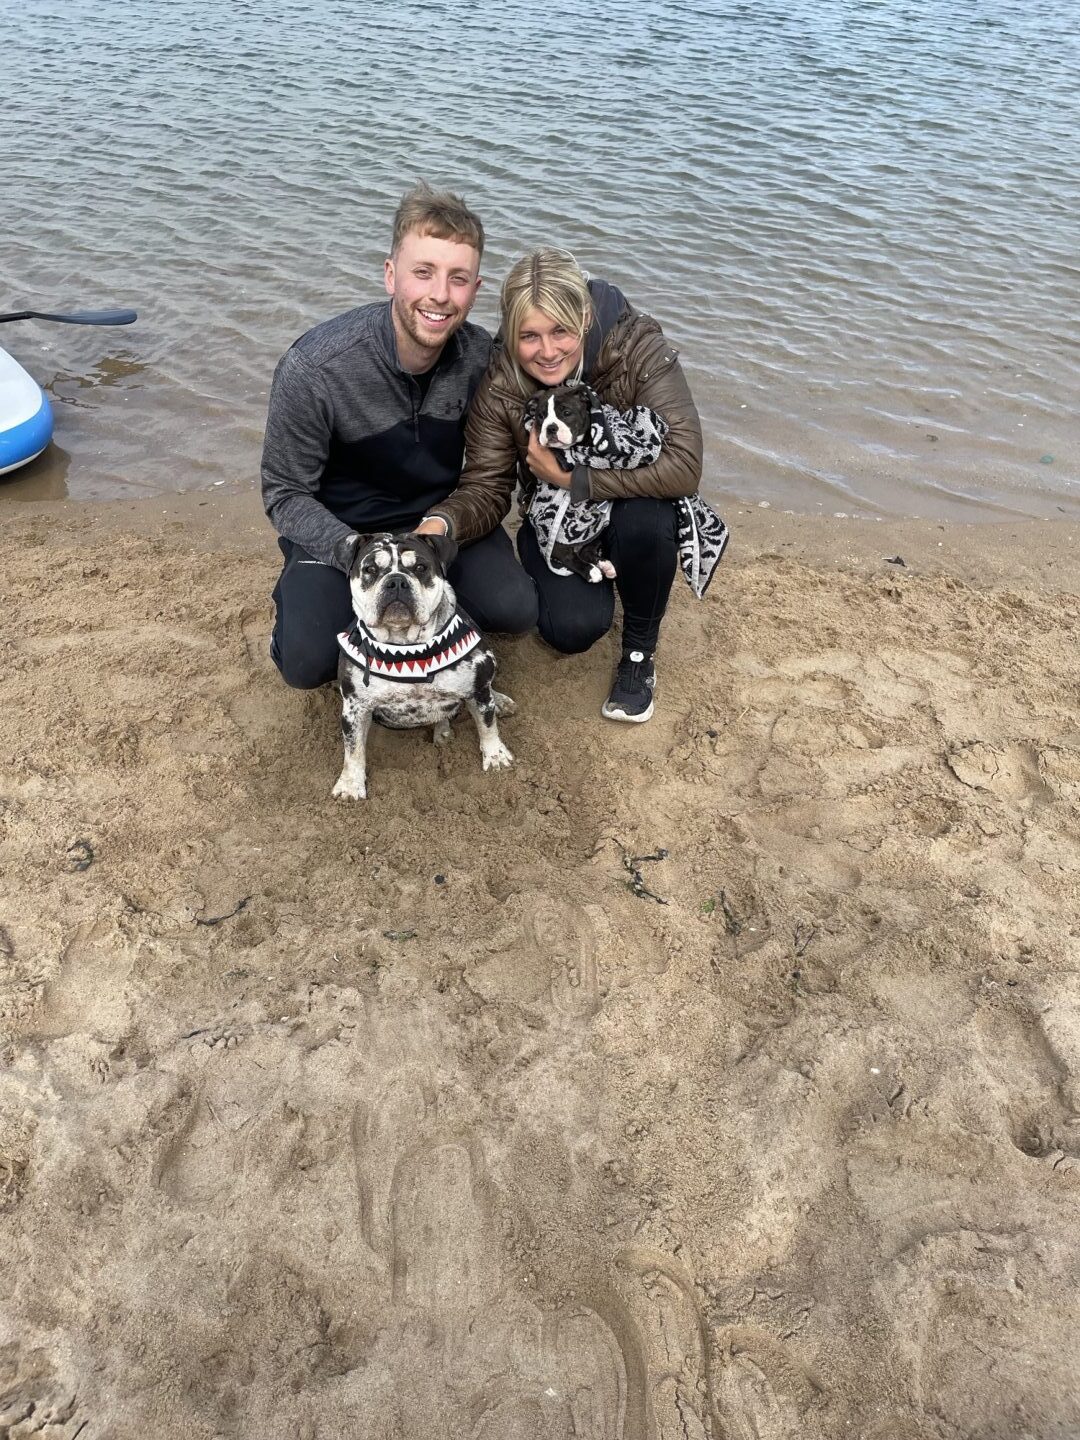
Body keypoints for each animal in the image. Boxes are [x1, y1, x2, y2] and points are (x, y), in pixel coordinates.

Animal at [332, 532, 512, 800]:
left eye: (420, 568)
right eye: (370, 569)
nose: (396, 581)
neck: (406, 648)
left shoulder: (478, 690)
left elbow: (487, 724)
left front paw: (495, 755)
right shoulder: (355, 708)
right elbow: (353, 748)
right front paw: (350, 784)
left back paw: (497, 701)